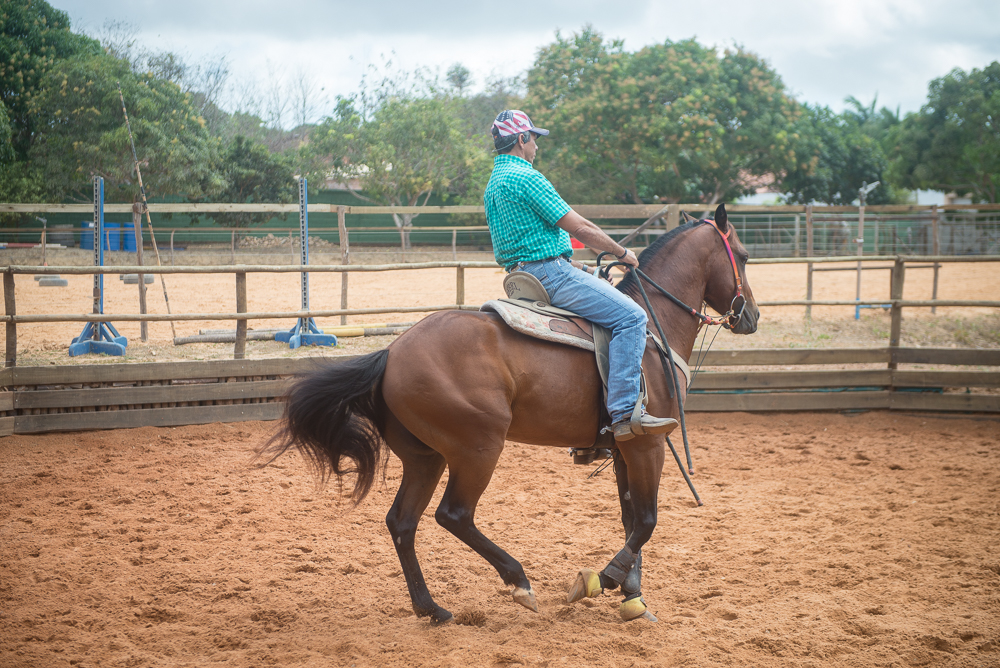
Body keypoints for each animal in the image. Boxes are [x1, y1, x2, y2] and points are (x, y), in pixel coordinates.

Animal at [262, 204, 760, 628]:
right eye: (744, 256)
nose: (750, 316)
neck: (651, 330)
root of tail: (391, 352)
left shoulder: (625, 447)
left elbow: (630, 518)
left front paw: (633, 597)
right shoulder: (648, 443)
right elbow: (647, 520)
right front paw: (603, 580)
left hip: (425, 457)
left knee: (402, 522)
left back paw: (432, 609)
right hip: (478, 448)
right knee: (454, 515)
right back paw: (518, 582)